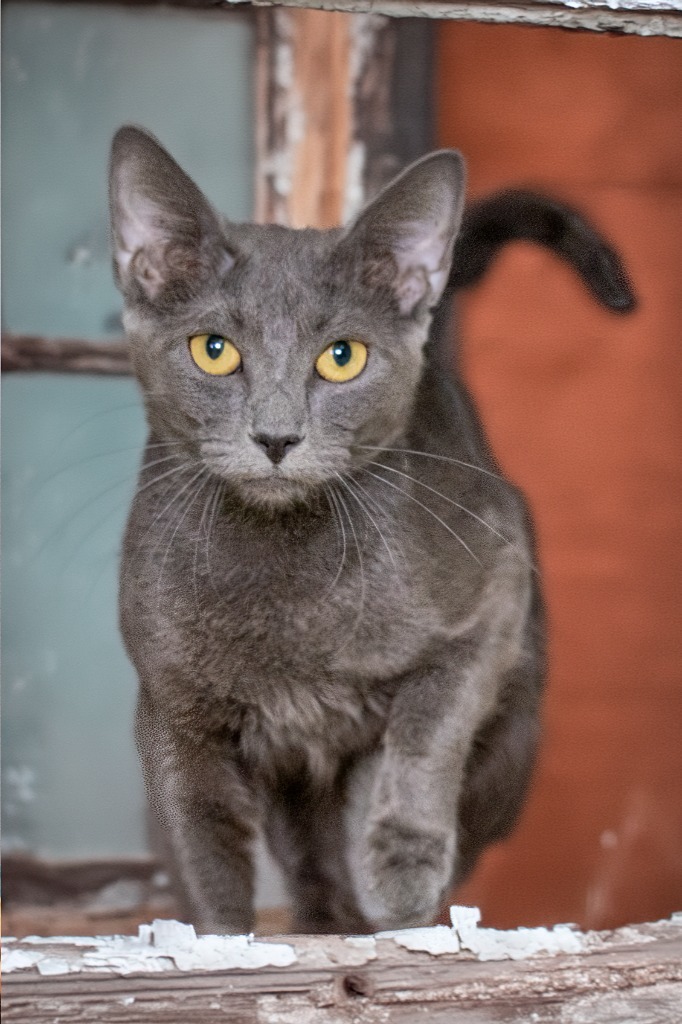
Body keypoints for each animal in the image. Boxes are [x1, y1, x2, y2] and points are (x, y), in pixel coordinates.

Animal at [109, 128, 630, 937]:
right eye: (213, 350)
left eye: (342, 357)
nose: (277, 435)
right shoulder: (171, 702)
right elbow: (202, 842)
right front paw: (221, 945)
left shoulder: (493, 597)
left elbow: (426, 730)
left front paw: (402, 868)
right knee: (309, 855)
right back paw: (331, 925)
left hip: (513, 737)